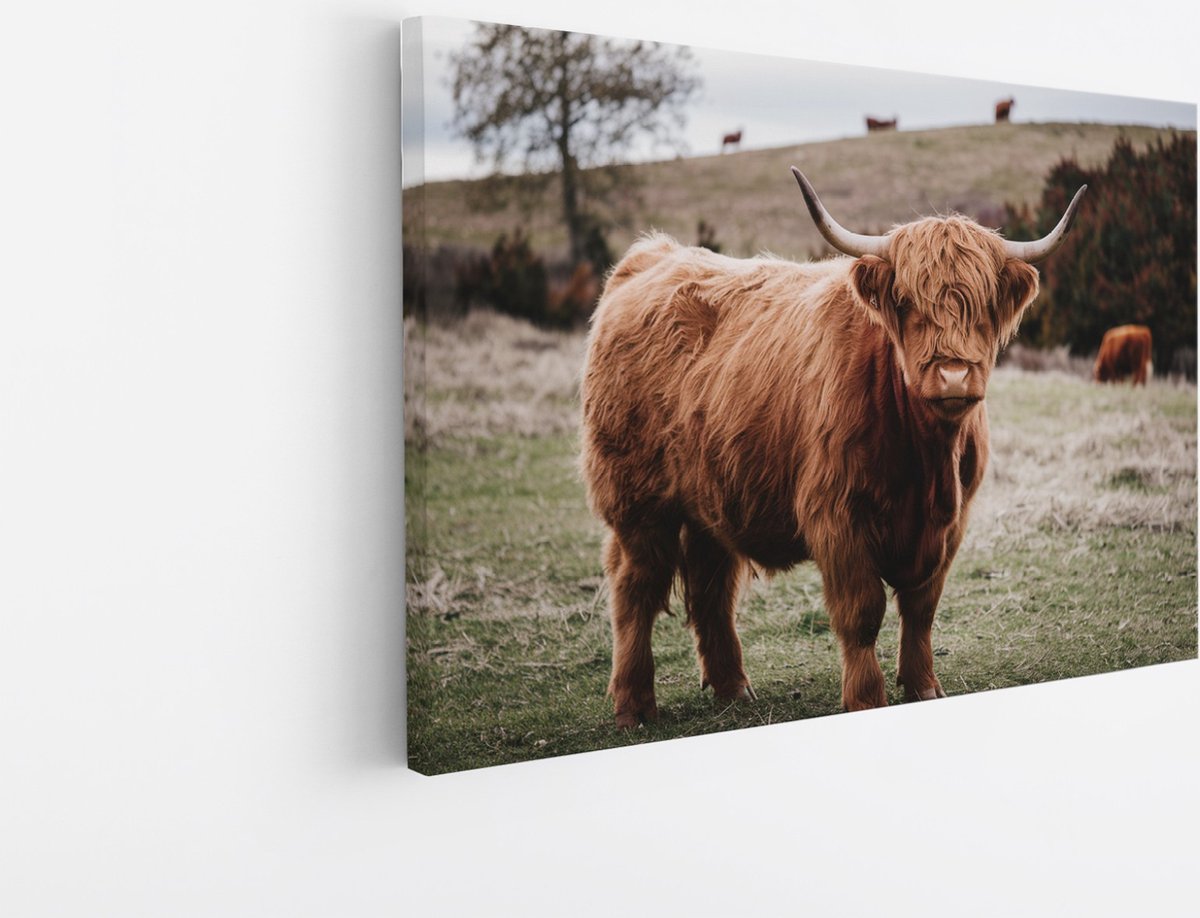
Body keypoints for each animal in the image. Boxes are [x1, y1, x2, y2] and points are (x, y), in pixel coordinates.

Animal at [580, 168, 1086, 727]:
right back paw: (634, 706)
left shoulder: (951, 524)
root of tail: (651, 257)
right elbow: (862, 613)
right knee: (635, 589)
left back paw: (733, 688)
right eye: (907, 303)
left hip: (710, 497)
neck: (926, 462)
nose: (953, 375)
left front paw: (924, 687)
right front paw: (866, 698)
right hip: (638, 504)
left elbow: (922, 609)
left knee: (711, 588)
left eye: (982, 306)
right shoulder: (838, 516)